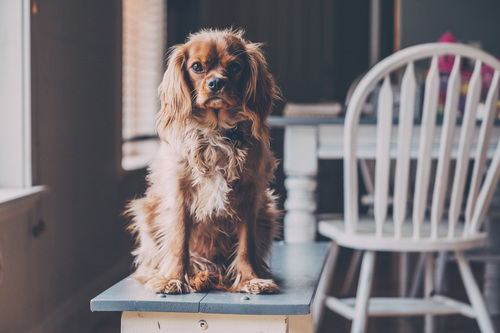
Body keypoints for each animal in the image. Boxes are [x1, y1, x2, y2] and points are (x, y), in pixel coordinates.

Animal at [126, 28, 282, 294]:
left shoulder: (251, 195)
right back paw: (193, 276)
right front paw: (173, 279)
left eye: (234, 67)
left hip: (268, 211)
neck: (216, 130)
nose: (216, 83)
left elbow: (246, 245)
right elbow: (179, 241)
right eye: (197, 67)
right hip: (146, 210)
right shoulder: (180, 193)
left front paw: (250, 279)